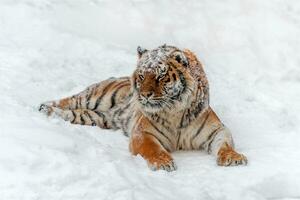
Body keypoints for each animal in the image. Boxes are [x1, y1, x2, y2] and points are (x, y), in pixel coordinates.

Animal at [38, 44, 247, 171]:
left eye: (160, 76)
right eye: (141, 76)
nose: (144, 94)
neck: (175, 111)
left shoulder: (216, 130)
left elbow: (225, 144)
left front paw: (234, 158)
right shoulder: (143, 133)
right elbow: (153, 149)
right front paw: (163, 163)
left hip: (95, 117)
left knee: (73, 113)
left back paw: (50, 113)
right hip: (96, 97)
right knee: (68, 100)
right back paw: (44, 107)